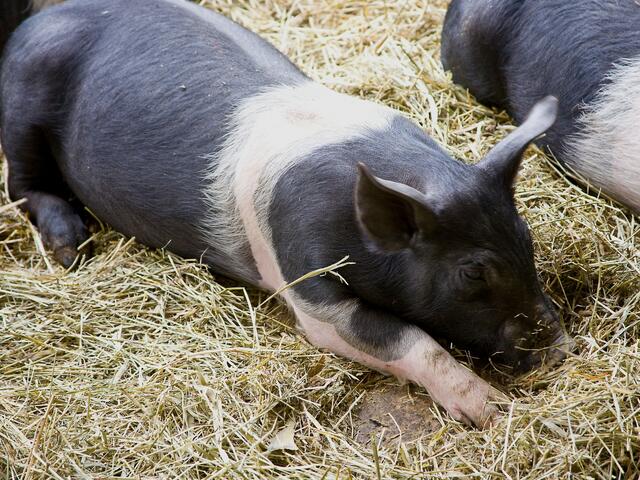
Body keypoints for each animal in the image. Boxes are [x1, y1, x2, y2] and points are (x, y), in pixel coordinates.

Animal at [0, 0, 571, 428]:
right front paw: (493, 411)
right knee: (22, 185)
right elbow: (407, 341)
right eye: (472, 272)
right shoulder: (305, 277)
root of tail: (43, 18)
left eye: (526, 238)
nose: (556, 348)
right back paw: (72, 249)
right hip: (24, 104)